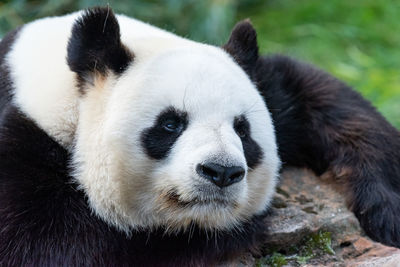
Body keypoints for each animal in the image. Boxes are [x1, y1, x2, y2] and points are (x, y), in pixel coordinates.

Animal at [0, 6, 398, 267]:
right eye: (170, 124)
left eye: (242, 129)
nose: (221, 172)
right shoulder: (26, 133)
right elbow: (47, 247)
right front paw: (243, 228)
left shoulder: (271, 86)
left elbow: (331, 99)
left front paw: (386, 210)